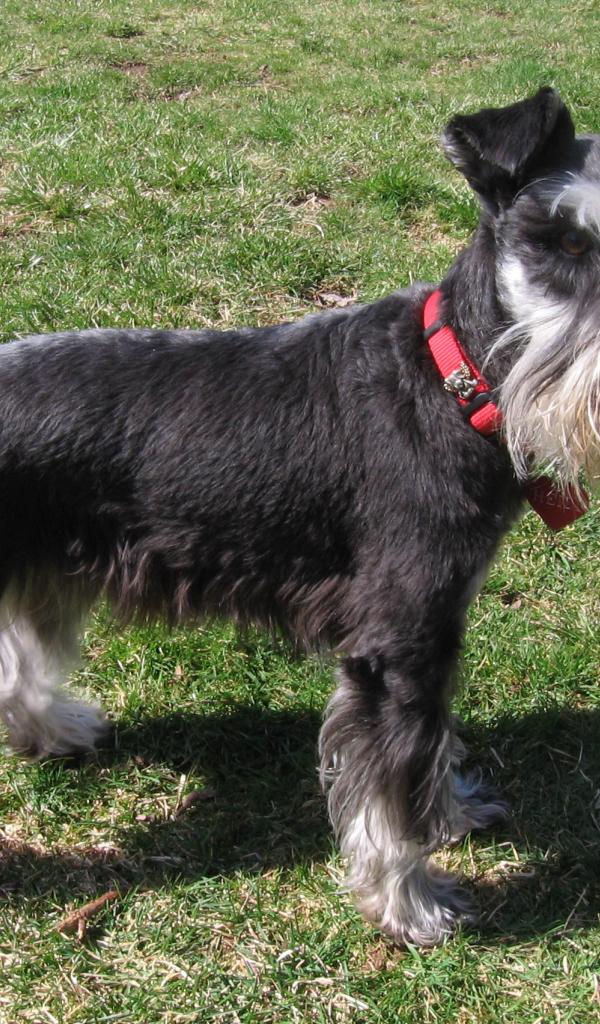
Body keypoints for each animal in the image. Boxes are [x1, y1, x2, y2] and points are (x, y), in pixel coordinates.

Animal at [0, 87, 598, 946]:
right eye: (565, 241)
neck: (449, 380)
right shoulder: (397, 640)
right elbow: (389, 782)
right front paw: (411, 904)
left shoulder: (435, 630)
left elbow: (429, 742)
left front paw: (449, 809)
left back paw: (54, 731)